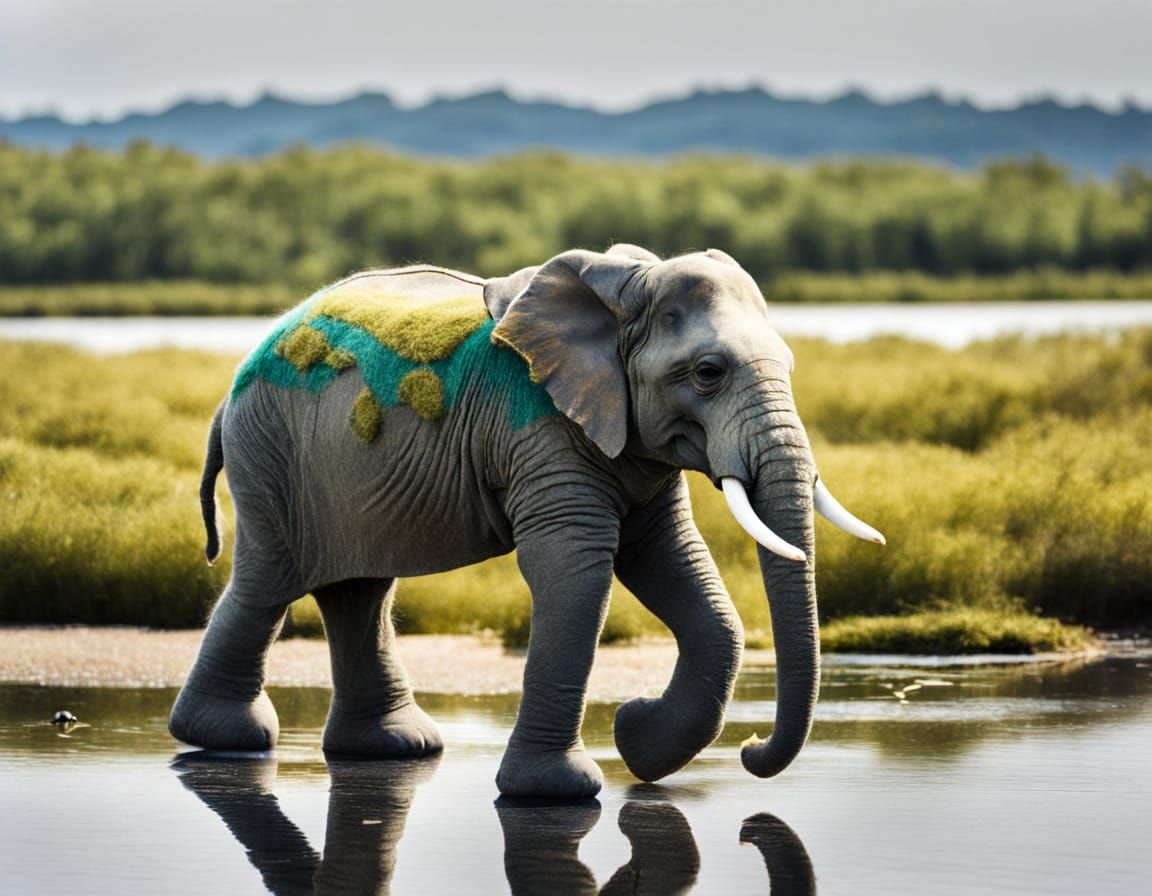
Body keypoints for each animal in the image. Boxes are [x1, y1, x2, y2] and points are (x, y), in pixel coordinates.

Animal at [169, 243, 884, 799]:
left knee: (359, 592)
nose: (752, 746)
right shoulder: (540, 425)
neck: (623, 294)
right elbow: (576, 572)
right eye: (708, 373)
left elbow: (671, 560)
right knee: (268, 585)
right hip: (270, 452)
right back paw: (228, 738)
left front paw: (637, 741)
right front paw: (558, 791)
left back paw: (396, 746)